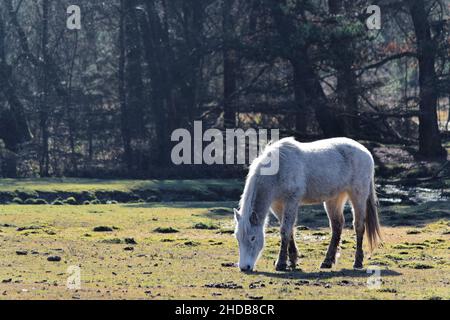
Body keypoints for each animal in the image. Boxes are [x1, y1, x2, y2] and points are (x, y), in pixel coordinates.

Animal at [234, 138, 382, 272]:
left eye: (253, 238)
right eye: (238, 238)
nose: (244, 267)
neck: (278, 170)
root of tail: (366, 152)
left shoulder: (291, 201)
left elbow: (285, 230)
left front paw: (281, 263)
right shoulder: (277, 205)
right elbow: (289, 230)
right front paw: (292, 260)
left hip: (358, 196)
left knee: (359, 226)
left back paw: (357, 262)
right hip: (334, 199)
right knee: (337, 226)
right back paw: (327, 262)